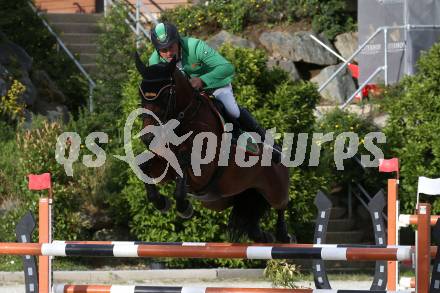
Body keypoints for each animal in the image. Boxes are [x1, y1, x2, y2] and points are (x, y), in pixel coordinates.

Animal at [133, 53, 292, 242]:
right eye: (141, 95)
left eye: (165, 96)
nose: (148, 137)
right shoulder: (164, 164)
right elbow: (144, 166)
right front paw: (161, 202)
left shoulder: (203, 169)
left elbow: (183, 162)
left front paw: (184, 207)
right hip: (226, 199)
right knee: (253, 227)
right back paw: (268, 237)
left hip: (275, 190)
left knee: (282, 205)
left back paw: (284, 235)